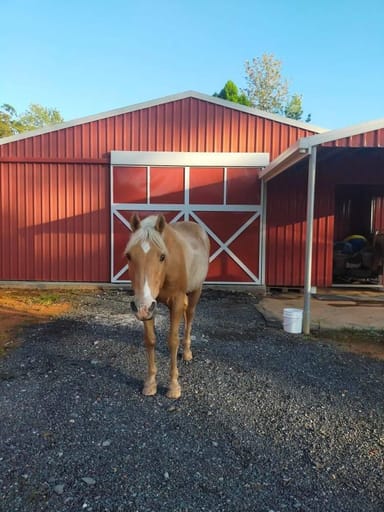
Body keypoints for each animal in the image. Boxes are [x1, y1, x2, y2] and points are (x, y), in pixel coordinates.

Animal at [125, 214, 210, 398]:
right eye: (129, 256)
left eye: (162, 256)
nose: (141, 307)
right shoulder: (149, 306)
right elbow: (150, 340)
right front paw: (150, 383)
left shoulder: (175, 302)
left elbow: (172, 341)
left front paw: (173, 386)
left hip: (196, 291)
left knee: (189, 317)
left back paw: (187, 352)